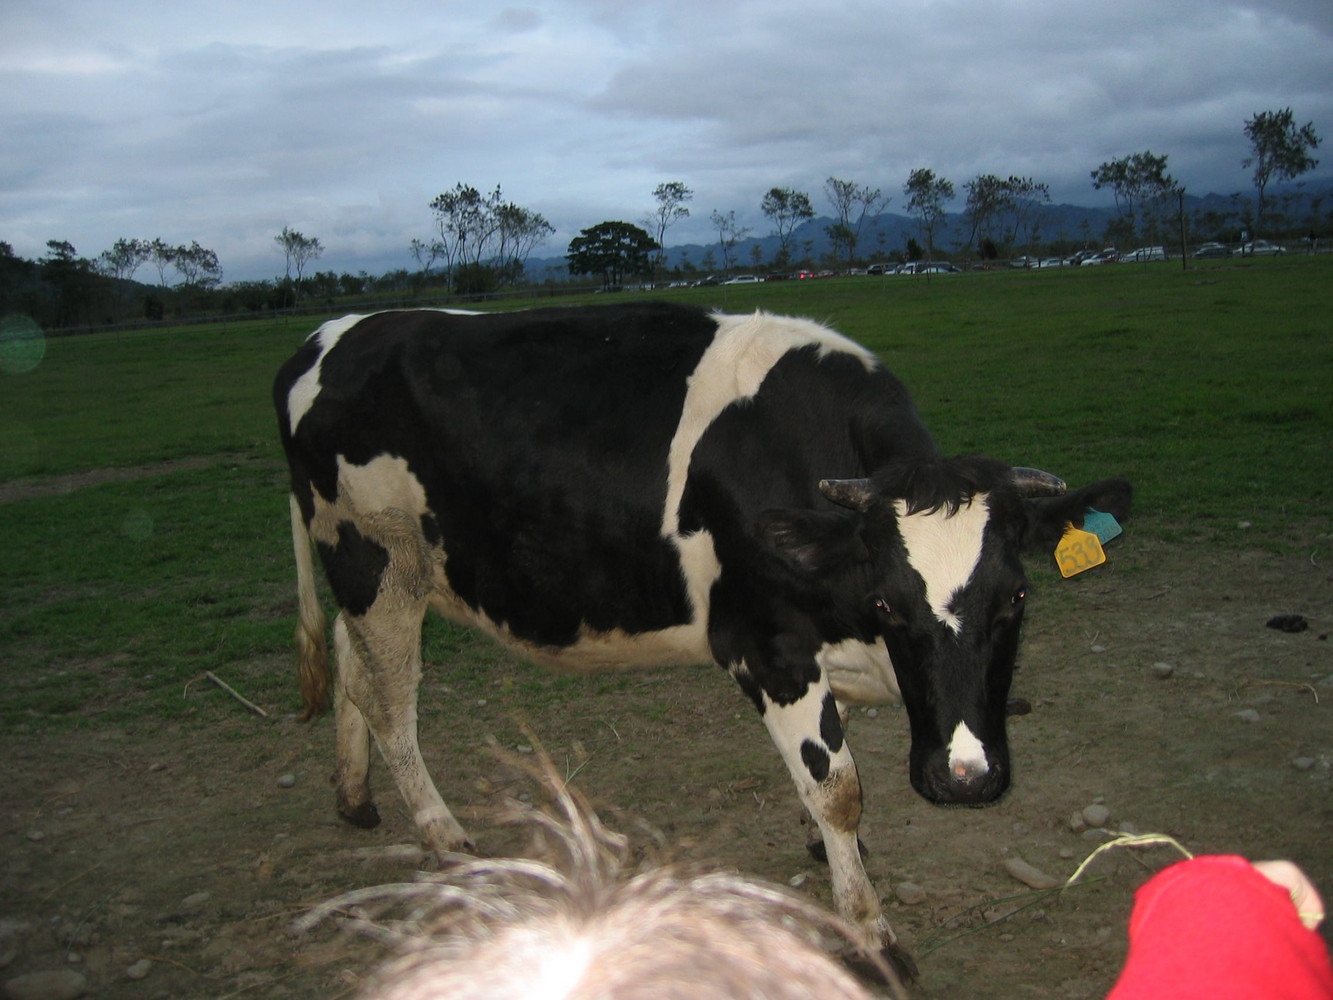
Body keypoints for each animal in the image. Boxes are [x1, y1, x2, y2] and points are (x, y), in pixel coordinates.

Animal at [273, 301, 1130, 958]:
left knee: (353, 666)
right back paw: (442, 833)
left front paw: (828, 852)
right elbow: (839, 788)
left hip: (382, 573)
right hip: (374, 557)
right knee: (391, 702)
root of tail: (329, 333)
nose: (965, 777)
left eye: (1016, 597)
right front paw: (870, 934)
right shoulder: (768, 650)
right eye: (889, 603)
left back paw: (354, 794)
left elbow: (831, 778)